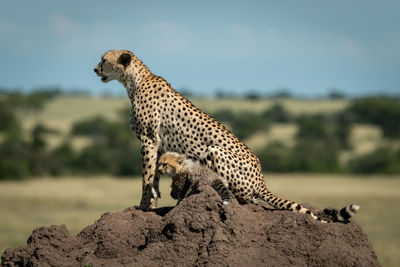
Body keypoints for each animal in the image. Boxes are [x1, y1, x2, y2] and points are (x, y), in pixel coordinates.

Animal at [94, 49, 360, 223]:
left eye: (104, 60)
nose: (95, 68)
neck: (135, 81)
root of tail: (261, 179)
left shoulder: (148, 139)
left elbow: (147, 176)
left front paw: (143, 206)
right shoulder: (157, 144)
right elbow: (154, 177)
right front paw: (152, 203)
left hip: (214, 151)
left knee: (245, 198)